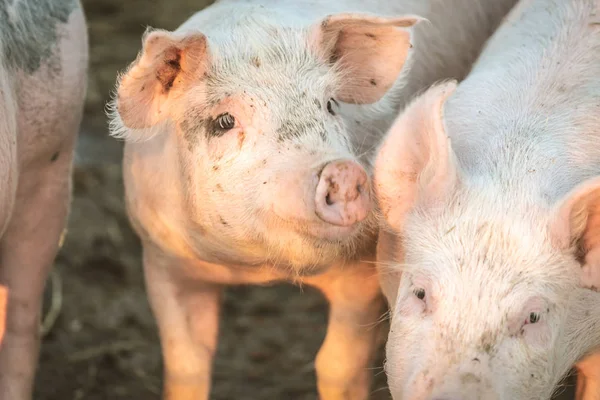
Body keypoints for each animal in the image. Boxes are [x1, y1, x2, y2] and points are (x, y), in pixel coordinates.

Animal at [110, 0, 516, 398]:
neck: (259, 268)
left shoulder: (363, 266)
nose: (343, 171)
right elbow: (187, 364)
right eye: (223, 122)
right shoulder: (162, 259)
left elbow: (337, 364)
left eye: (331, 105)